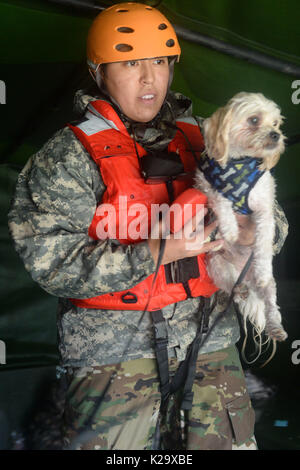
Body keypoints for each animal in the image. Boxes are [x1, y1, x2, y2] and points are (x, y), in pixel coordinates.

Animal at [195, 92, 288, 342]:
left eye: (276, 124)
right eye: (254, 120)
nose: (276, 135)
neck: (239, 163)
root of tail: (244, 277)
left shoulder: (265, 211)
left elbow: (264, 243)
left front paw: (263, 266)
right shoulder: (207, 184)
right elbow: (221, 198)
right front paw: (229, 228)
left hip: (269, 287)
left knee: (270, 305)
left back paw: (275, 327)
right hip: (217, 265)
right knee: (231, 291)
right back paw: (239, 291)